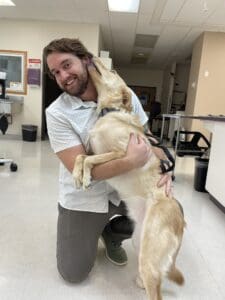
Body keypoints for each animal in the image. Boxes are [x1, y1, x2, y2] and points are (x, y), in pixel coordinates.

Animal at [73, 56, 185, 300]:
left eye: (113, 70)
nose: (91, 56)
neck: (109, 113)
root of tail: (182, 222)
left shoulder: (121, 153)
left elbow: (90, 160)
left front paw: (86, 177)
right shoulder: (94, 149)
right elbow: (80, 156)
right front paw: (77, 174)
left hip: (148, 256)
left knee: (156, 291)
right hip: (139, 243)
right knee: (156, 279)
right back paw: (140, 282)